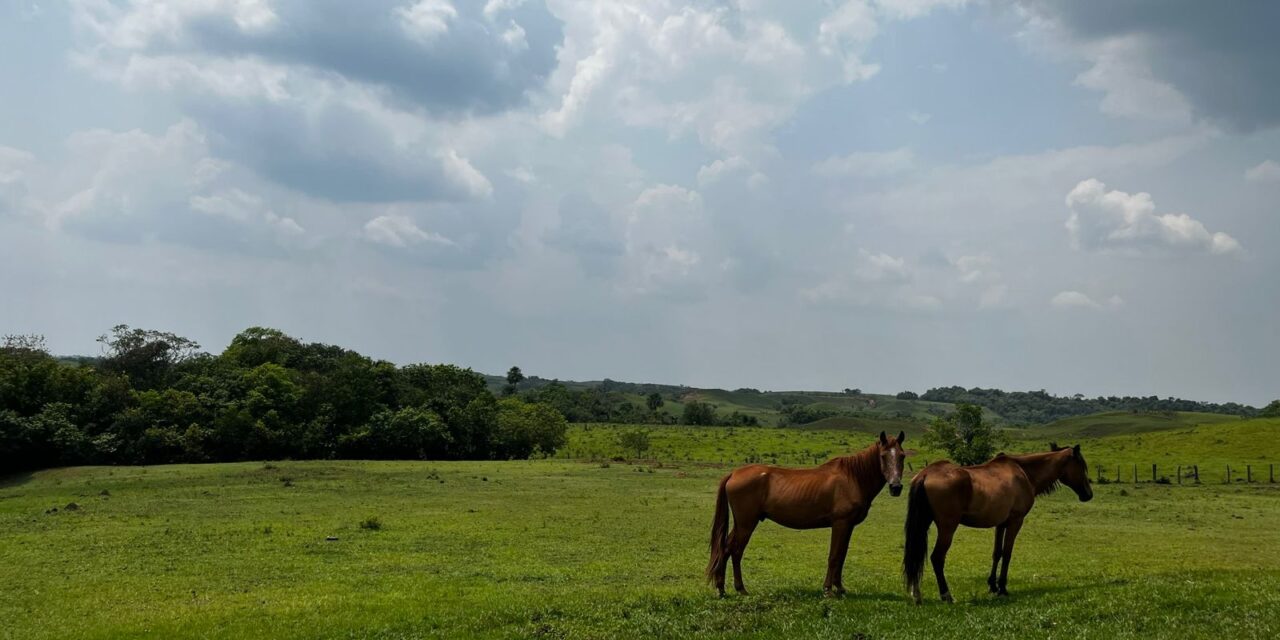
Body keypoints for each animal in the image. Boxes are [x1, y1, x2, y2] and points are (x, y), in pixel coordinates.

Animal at [706, 432, 906, 596]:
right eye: (883, 456)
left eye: (902, 456)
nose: (896, 487)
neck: (853, 478)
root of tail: (734, 474)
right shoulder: (840, 523)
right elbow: (834, 556)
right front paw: (828, 589)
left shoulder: (848, 526)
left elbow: (842, 556)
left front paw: (839, 588)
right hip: (746, 524)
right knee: (735, 550)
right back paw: (739, 589)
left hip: (741, 524)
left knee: (726, 549)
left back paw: (722, 588)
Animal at [901, 442, 1090, 601]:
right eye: (1082, 466)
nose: (1088, 494)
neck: (1023, 473)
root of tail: (925, 474)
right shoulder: (1015, 521)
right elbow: (1007, 553)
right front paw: (1002, 588)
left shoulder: (1001, 524)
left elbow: (997, 553)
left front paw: (992, 585)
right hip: (947, 528)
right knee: (937, 558)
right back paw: (946, 595)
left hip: (923, 524)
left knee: (916, 554)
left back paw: (916, 594)